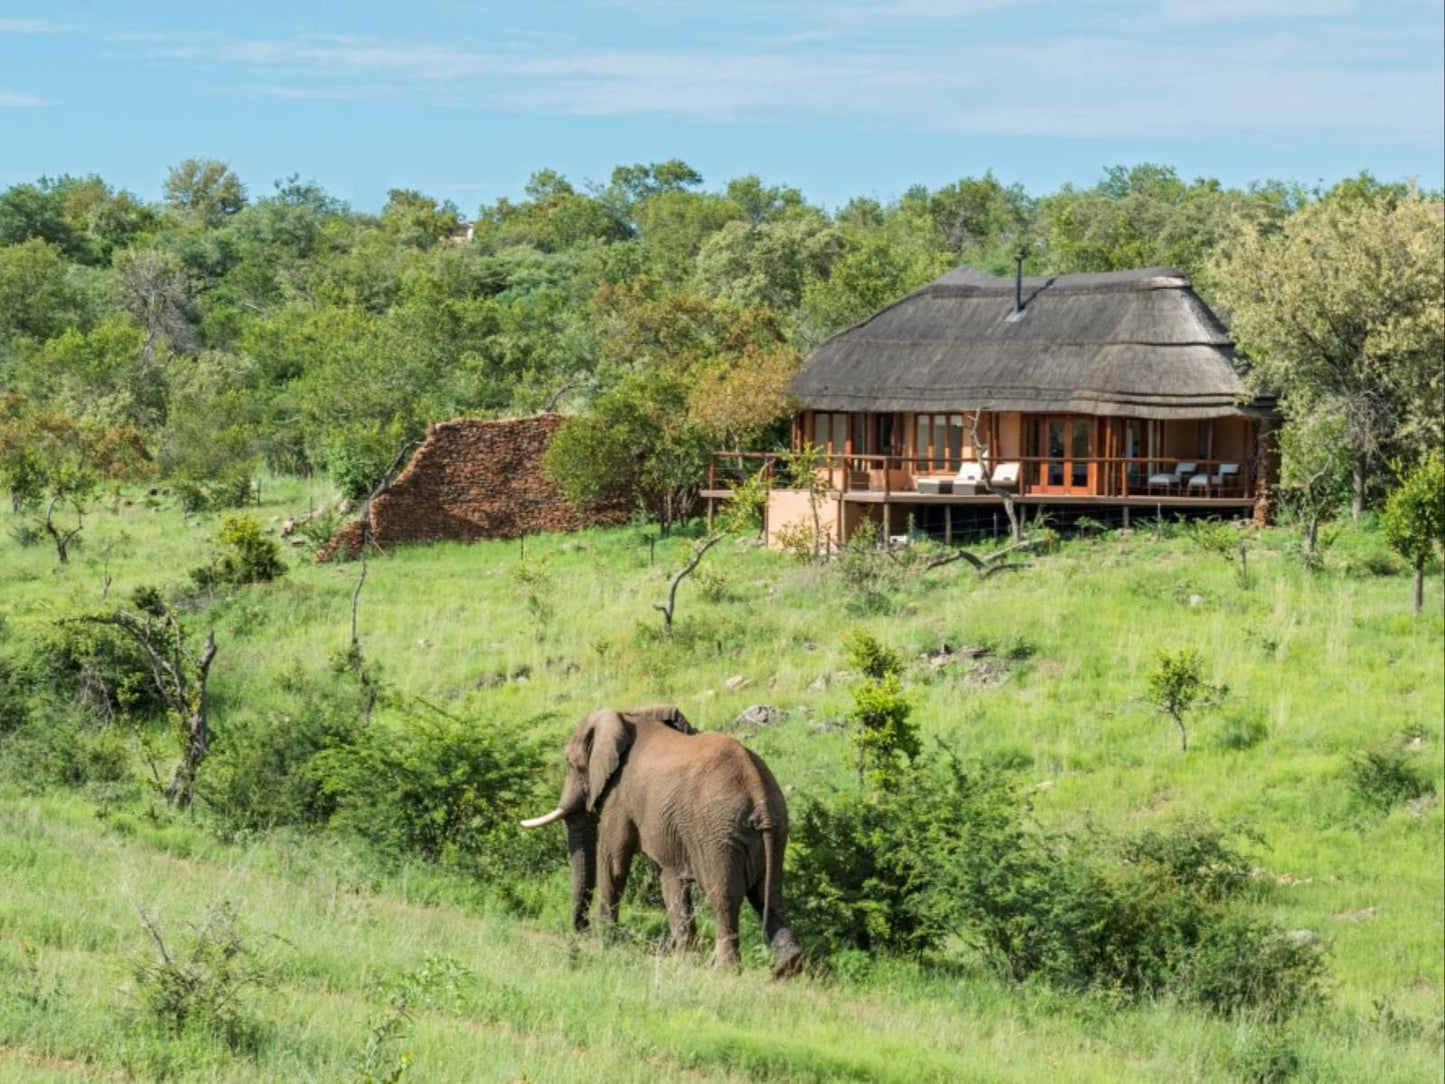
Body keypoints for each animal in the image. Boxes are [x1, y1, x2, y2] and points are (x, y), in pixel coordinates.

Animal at [525, 705, 809, 977]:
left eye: (570, 763)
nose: (580, 928)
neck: (627, 716)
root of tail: (759, 796)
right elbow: (668, 877)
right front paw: (684, 958)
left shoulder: (620, 795)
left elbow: (614, 863)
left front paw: (604, 941)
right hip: (776, 830)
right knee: (769, 894)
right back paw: (788, 966)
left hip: (718, 835)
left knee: (724, 897)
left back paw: (724, 970)